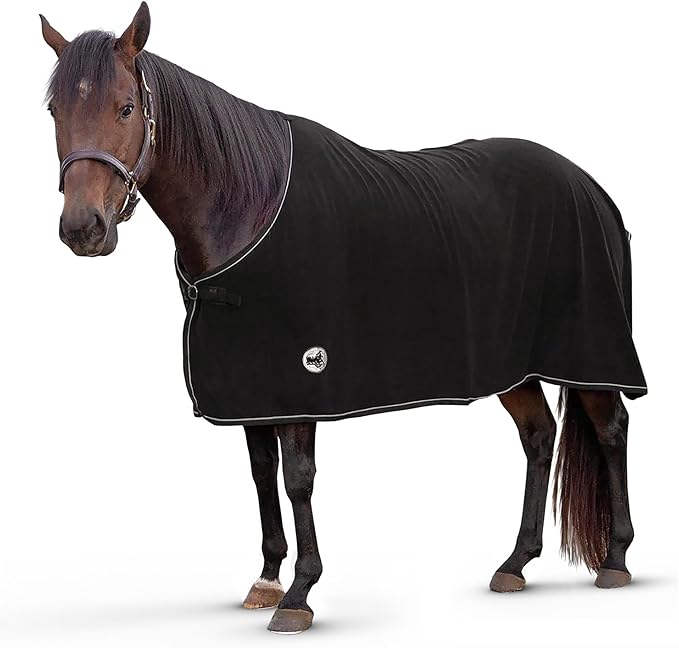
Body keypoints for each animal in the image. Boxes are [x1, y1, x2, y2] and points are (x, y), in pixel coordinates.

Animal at [40, 3, 646, 634]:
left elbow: (297, 479)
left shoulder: (301, 380)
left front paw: (299, 594)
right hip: (514, 366)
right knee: (539, 436)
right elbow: (261, 472)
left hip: (589, 351)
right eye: (55, 110)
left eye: (126, 108)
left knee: (611, 429)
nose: (83, 229)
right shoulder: (250, 384)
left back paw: (616, 559)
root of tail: (590, 187)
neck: (248, 206)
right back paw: (516, 562)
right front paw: (267, 579)